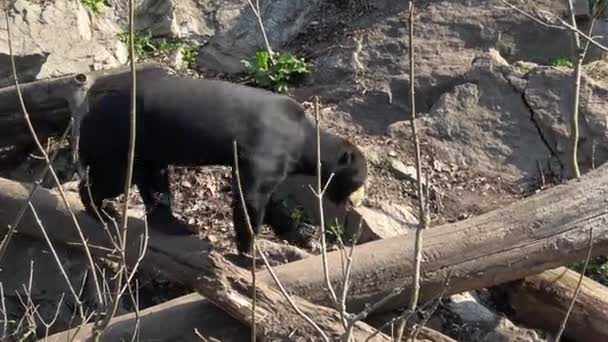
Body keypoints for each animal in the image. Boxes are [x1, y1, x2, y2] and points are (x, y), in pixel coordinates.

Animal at [78, 75, 368, 256]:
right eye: (358, 181)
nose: (351, 202)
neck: (303, 139)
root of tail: (90, 104)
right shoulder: (266, 148)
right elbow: (251, 197)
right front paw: (249, 251)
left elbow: (270, 201)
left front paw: (298, 234)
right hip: (119, 140)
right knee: (108, 179)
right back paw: (103, 212)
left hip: (146, 147)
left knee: (154, 183)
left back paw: (178, 226)